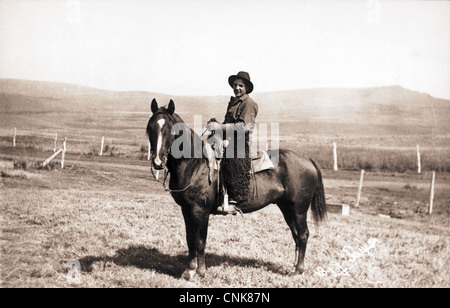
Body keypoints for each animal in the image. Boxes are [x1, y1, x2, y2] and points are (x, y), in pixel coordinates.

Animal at [148, 99, 326, 282]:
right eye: (150, 127)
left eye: (170, 130)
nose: (157, 162)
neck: (196, 165)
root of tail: (308, 159)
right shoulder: (186, 210)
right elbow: (190, 239)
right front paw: (188, 271)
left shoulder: (201, 211)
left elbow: (200, 241)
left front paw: (200, 272)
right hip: (286, 208)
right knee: (296, 235)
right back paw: (294, 267)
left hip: (299, 209)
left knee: (303, 235)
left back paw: (299, 270)